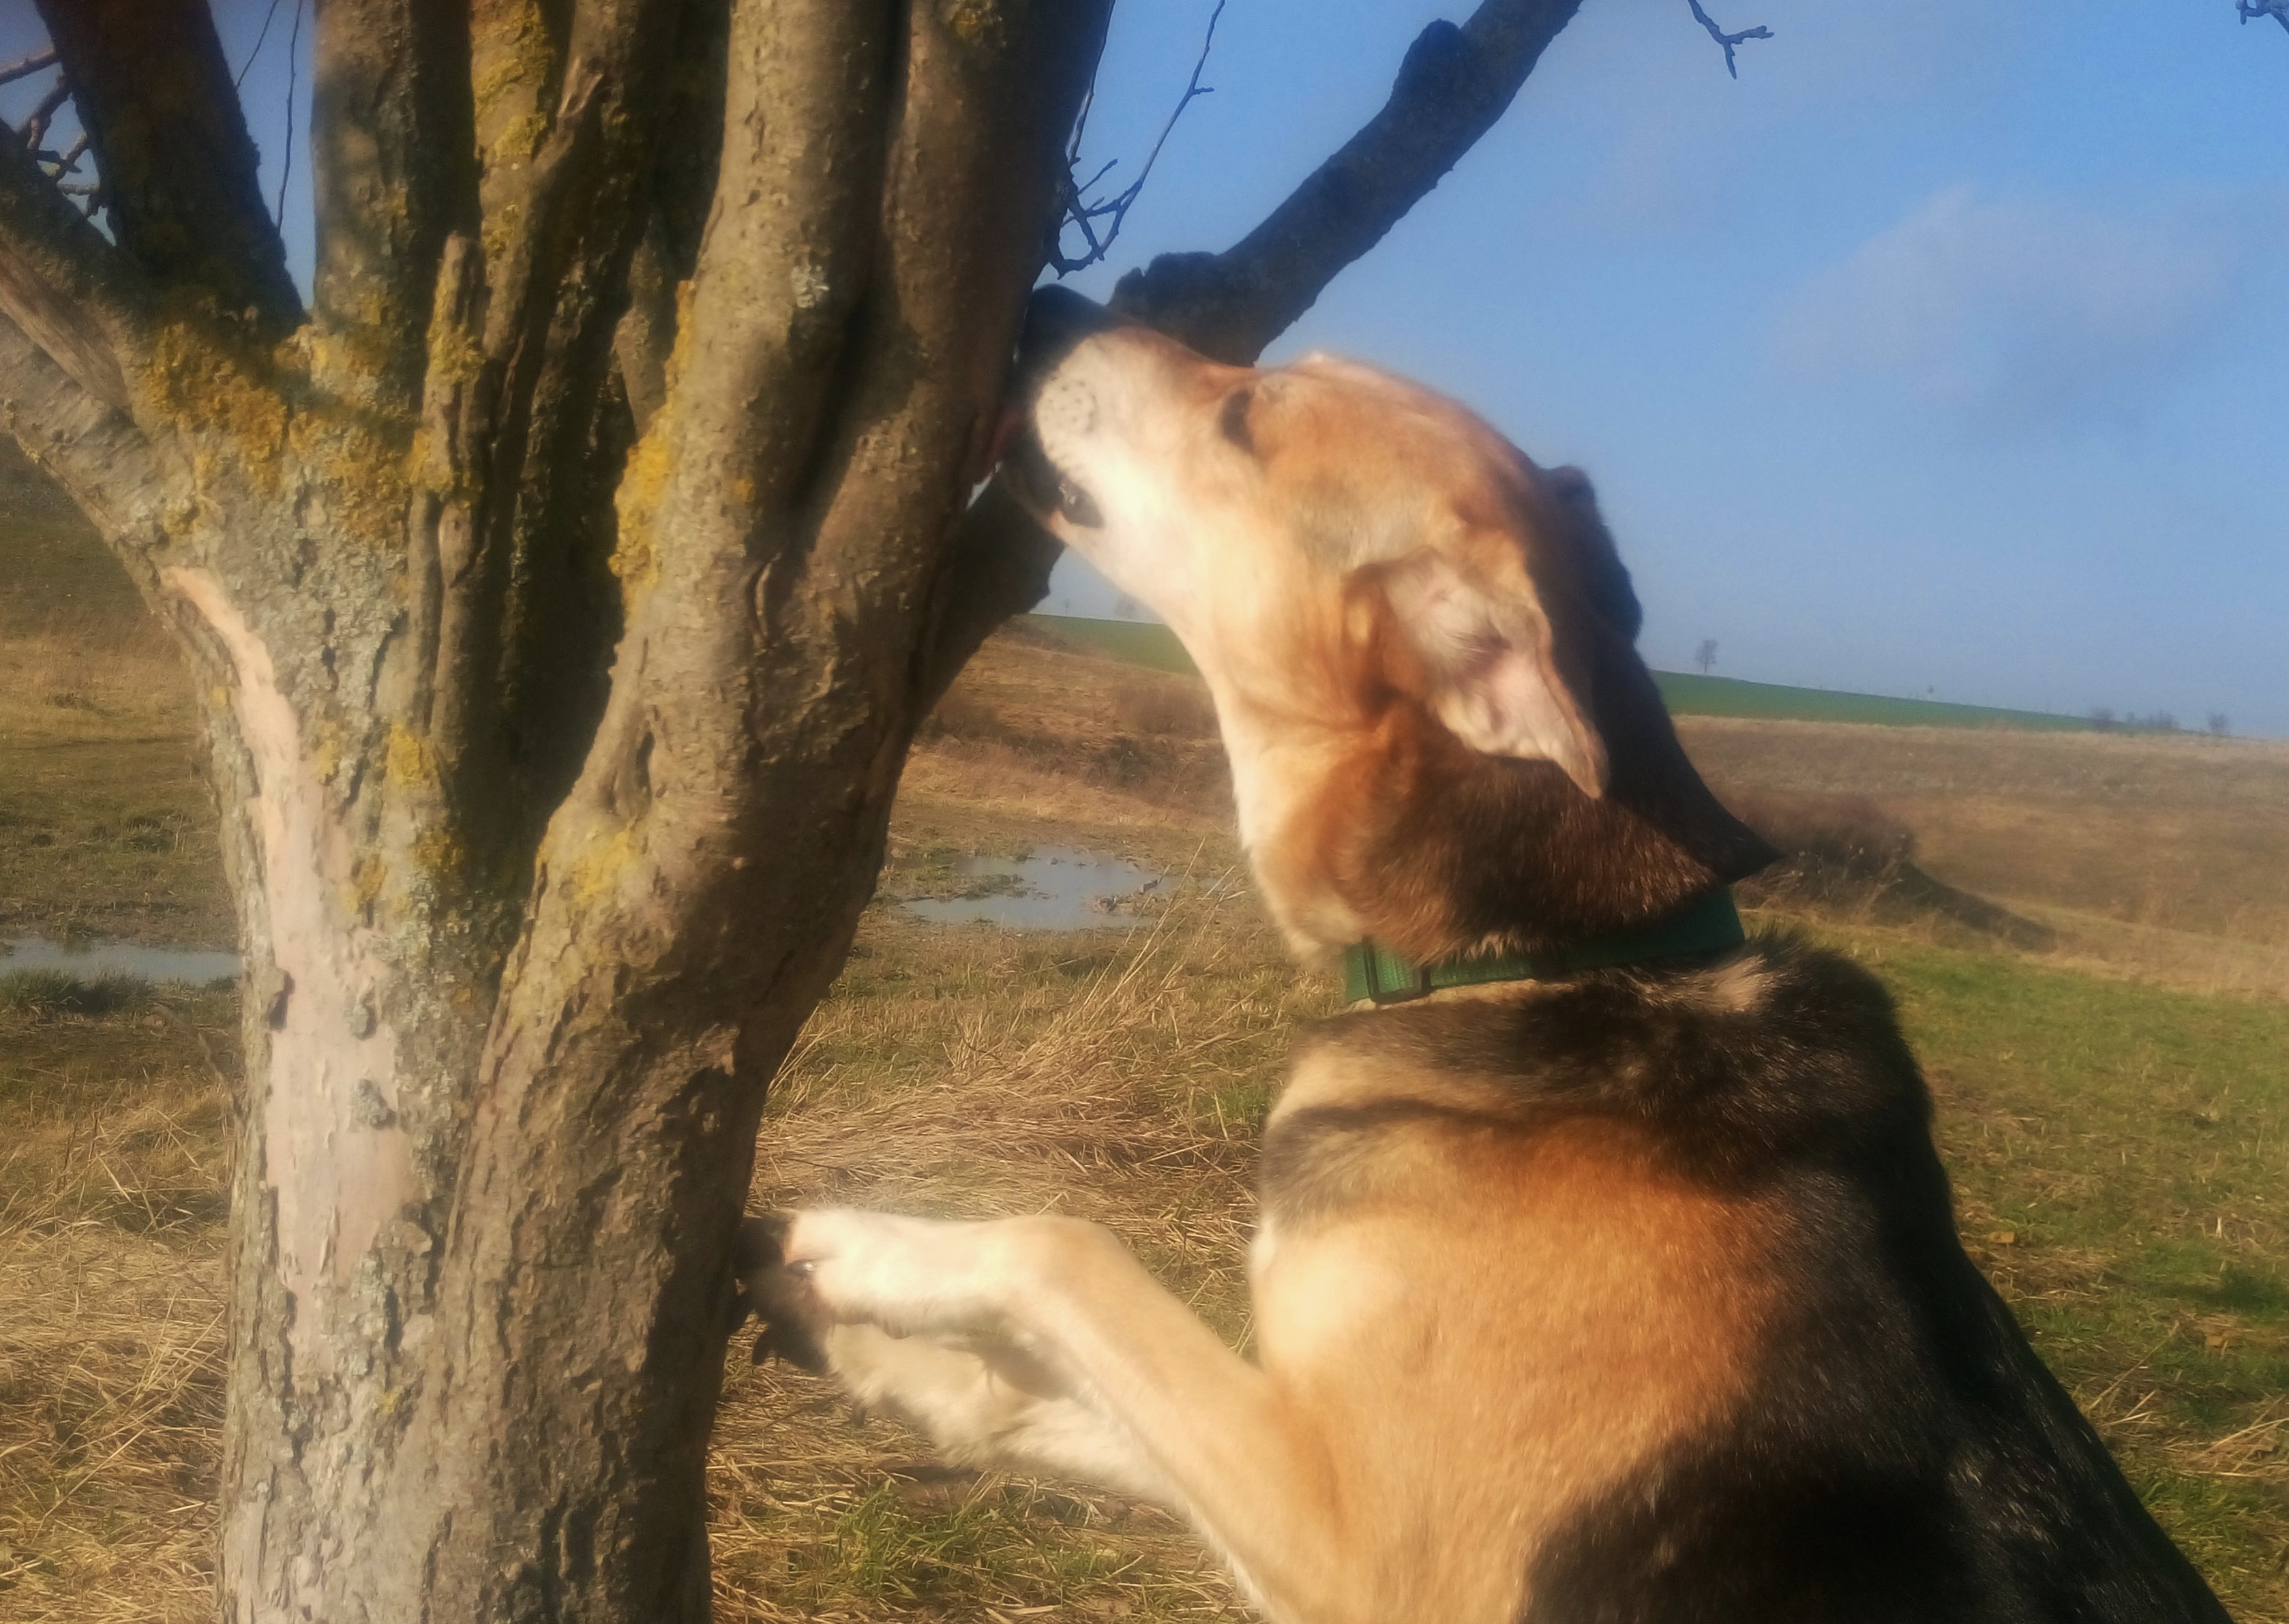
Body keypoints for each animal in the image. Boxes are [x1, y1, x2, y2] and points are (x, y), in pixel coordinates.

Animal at [736, 292, 2234, 1624]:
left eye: (1242, 414)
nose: (1046, 302)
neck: (1554, 957)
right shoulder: (1297, 1445)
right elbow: (1046, 1403)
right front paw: (884, 1360)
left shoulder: (1347, 1538)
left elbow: (1065, 1249)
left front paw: (870, 1251)